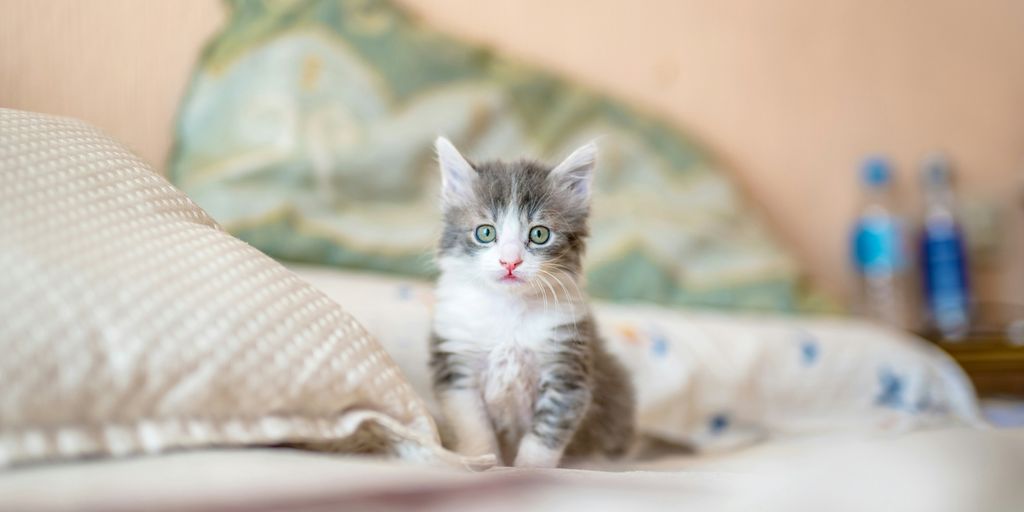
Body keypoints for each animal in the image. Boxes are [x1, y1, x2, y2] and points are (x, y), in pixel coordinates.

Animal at [428, 136, 634, 468]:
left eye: (539, 234)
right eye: (485, 232)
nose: (510, 262)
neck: (509, 310)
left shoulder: (567, 371)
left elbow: (544, 435)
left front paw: (527, 470)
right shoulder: (457, 368)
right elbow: (474, 427)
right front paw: (483, 461)